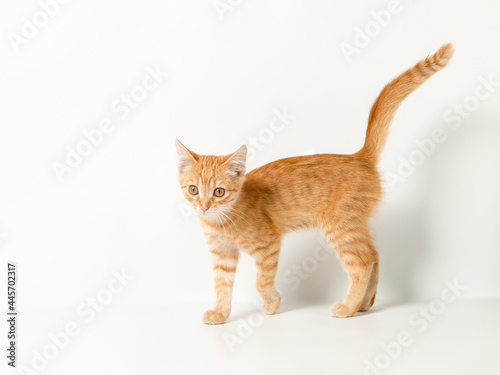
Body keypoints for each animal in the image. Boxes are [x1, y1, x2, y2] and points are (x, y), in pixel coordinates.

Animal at [175, 44, 454, 324]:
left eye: (219, 192)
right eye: (193, 190)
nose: (204, 206)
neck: (221, 221)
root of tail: (358, 156)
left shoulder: (268, 245)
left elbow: (261, 282)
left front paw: (272, 304)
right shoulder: (222, 255)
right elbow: (221, 285)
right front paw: (220, 313)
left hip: (340, 227)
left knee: (362, 262)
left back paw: (348, 306)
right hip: (357, 224)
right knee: (374, 255)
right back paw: (365, 303)